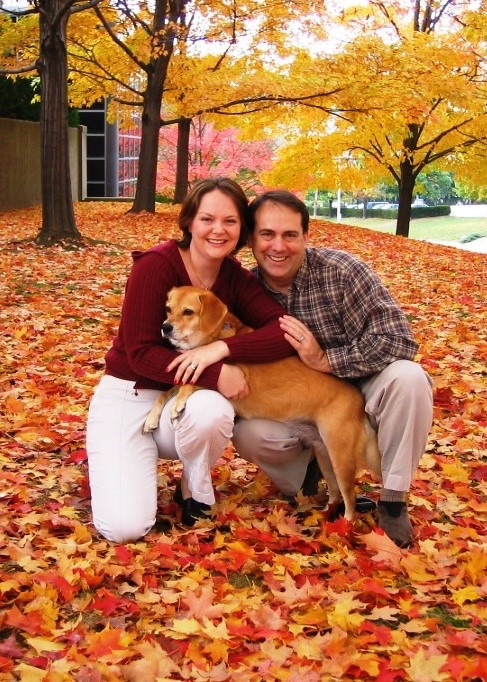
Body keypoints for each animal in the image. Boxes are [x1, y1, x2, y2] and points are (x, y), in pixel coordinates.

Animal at [143, 284, 384, 516]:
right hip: (325, 455)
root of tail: (359, 401)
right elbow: (167, 391)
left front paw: (178, 403)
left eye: (188, 312)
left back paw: (346, 524)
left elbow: (189, 384)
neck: (216, 336)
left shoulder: (229, 378)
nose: (165, 327)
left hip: (340, 457)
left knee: (349, 498)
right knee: (334, 494)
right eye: (168, 309)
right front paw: (152, 418)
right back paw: (326, 518)